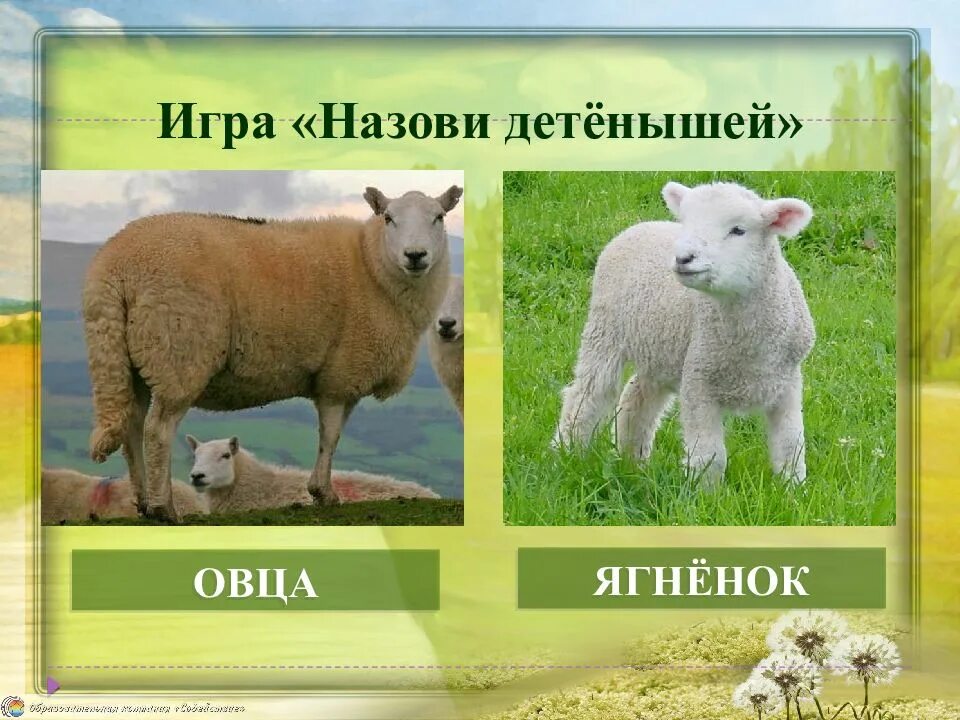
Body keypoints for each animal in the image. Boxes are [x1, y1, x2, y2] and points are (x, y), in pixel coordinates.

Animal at [554, 181, 815, 487]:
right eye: (686, 223)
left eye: (738, 230)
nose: (683, 258)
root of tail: (640, 226)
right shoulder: (698, 379)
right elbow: (710, 456)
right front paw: (707, 494)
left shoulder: (787, 381)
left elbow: (790, 446)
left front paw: (793, 490)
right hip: (604, 330)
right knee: (587, 394)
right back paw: (567, 452)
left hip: (661, 350)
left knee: (637, 395)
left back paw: (631, 460)